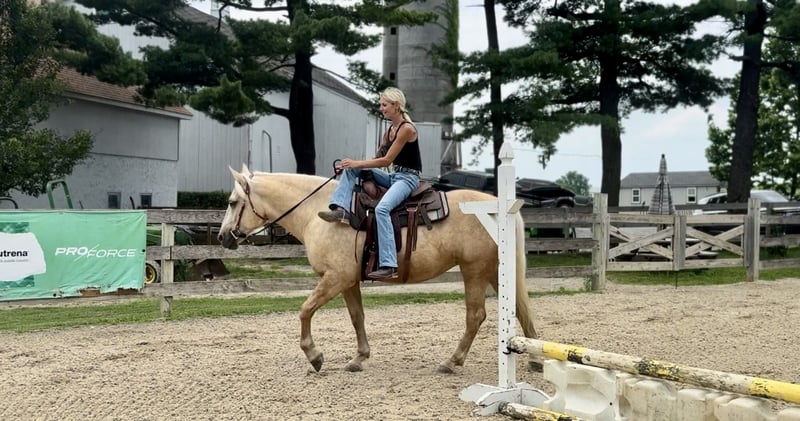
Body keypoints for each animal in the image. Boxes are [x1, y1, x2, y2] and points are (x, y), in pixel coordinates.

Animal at [217, 164, 538, 373]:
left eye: (233, 202)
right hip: (496, 271)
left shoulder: (335, 278)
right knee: (520, 310)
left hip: (475, 271)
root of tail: (499, 206)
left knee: (476, 316)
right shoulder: (348, 281)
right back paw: (535, 359)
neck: (319, 212)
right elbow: (356, 317)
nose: (222, 237)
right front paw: (359, 359)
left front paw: (314, 356)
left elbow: (305, 310)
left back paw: (452, 361)